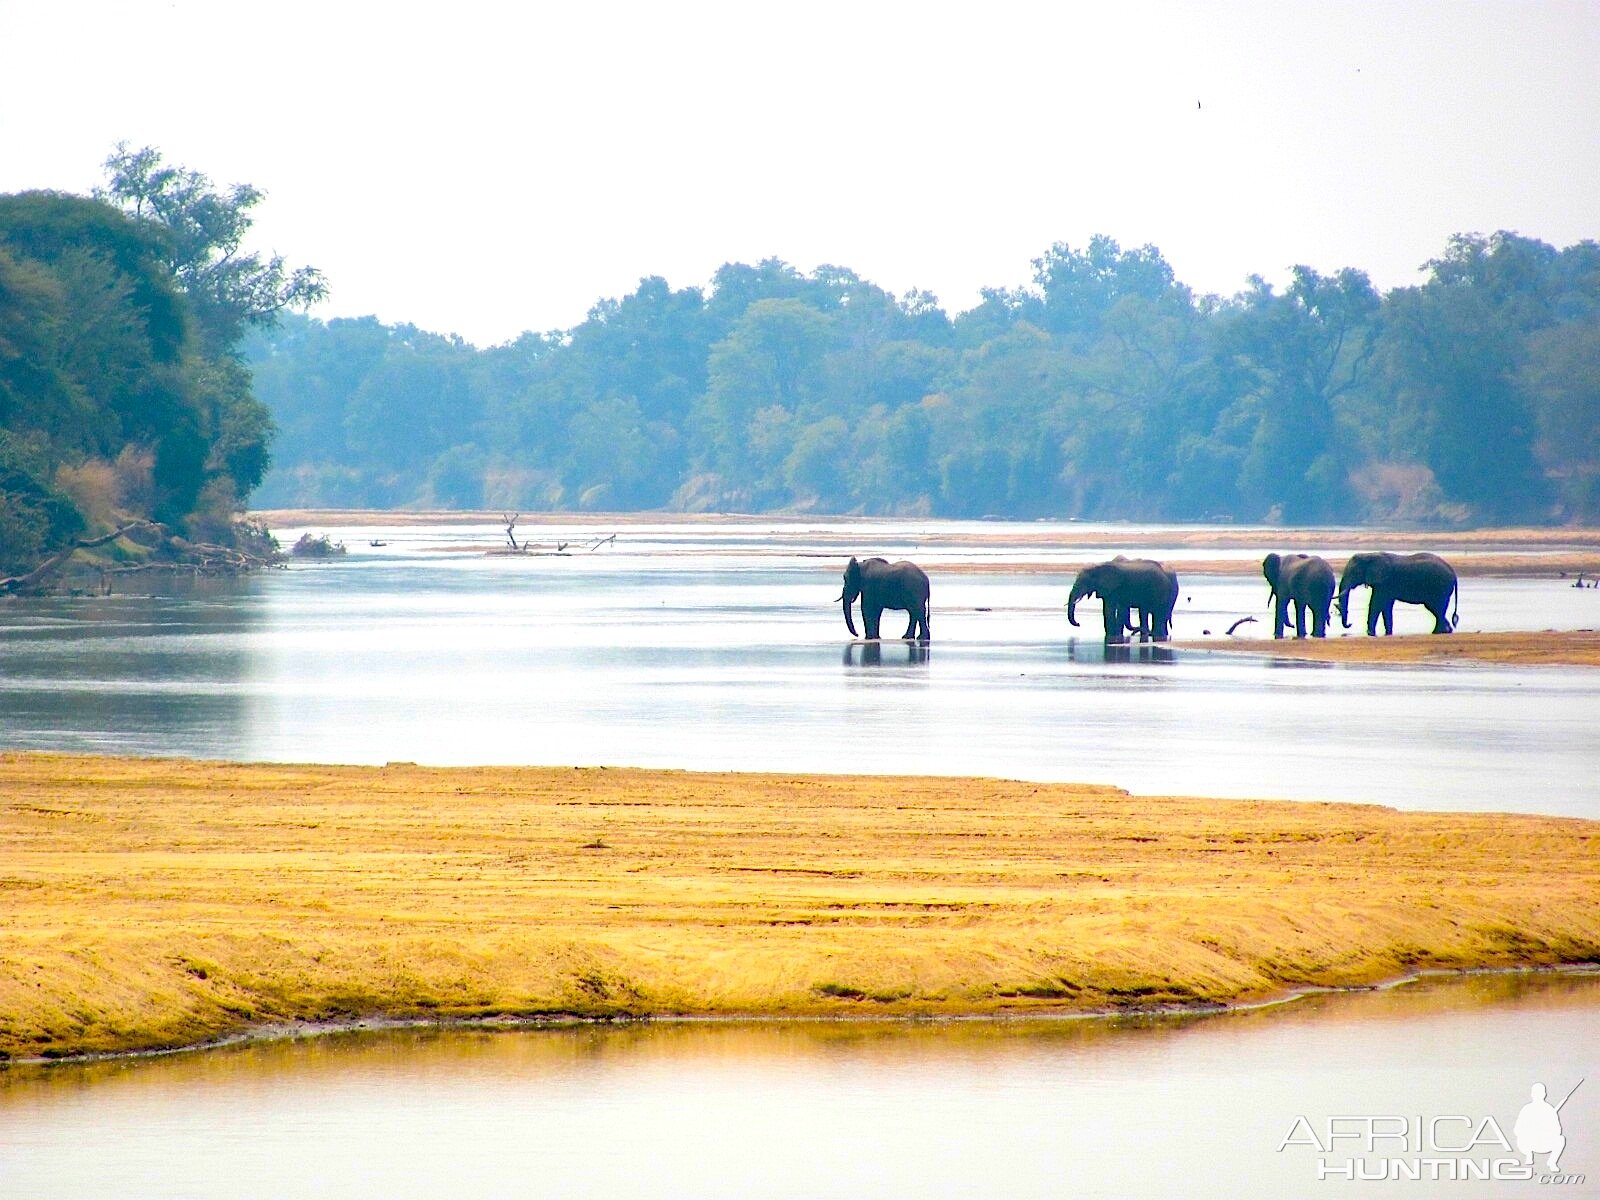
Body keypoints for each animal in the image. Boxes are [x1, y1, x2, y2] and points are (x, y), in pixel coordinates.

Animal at [1337, 550, 1465, 633]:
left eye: (1354, 572)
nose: (1350, 624)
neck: (1370, 555)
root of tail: (1453, 573)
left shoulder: (1385, 581)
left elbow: (1376, 603)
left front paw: (1370, 633)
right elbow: (1386, 605)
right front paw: (1388, 633)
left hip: (1440, 587)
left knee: (1436, 608)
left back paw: (1439, 632)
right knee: (1437, 609)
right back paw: (1444, 631)